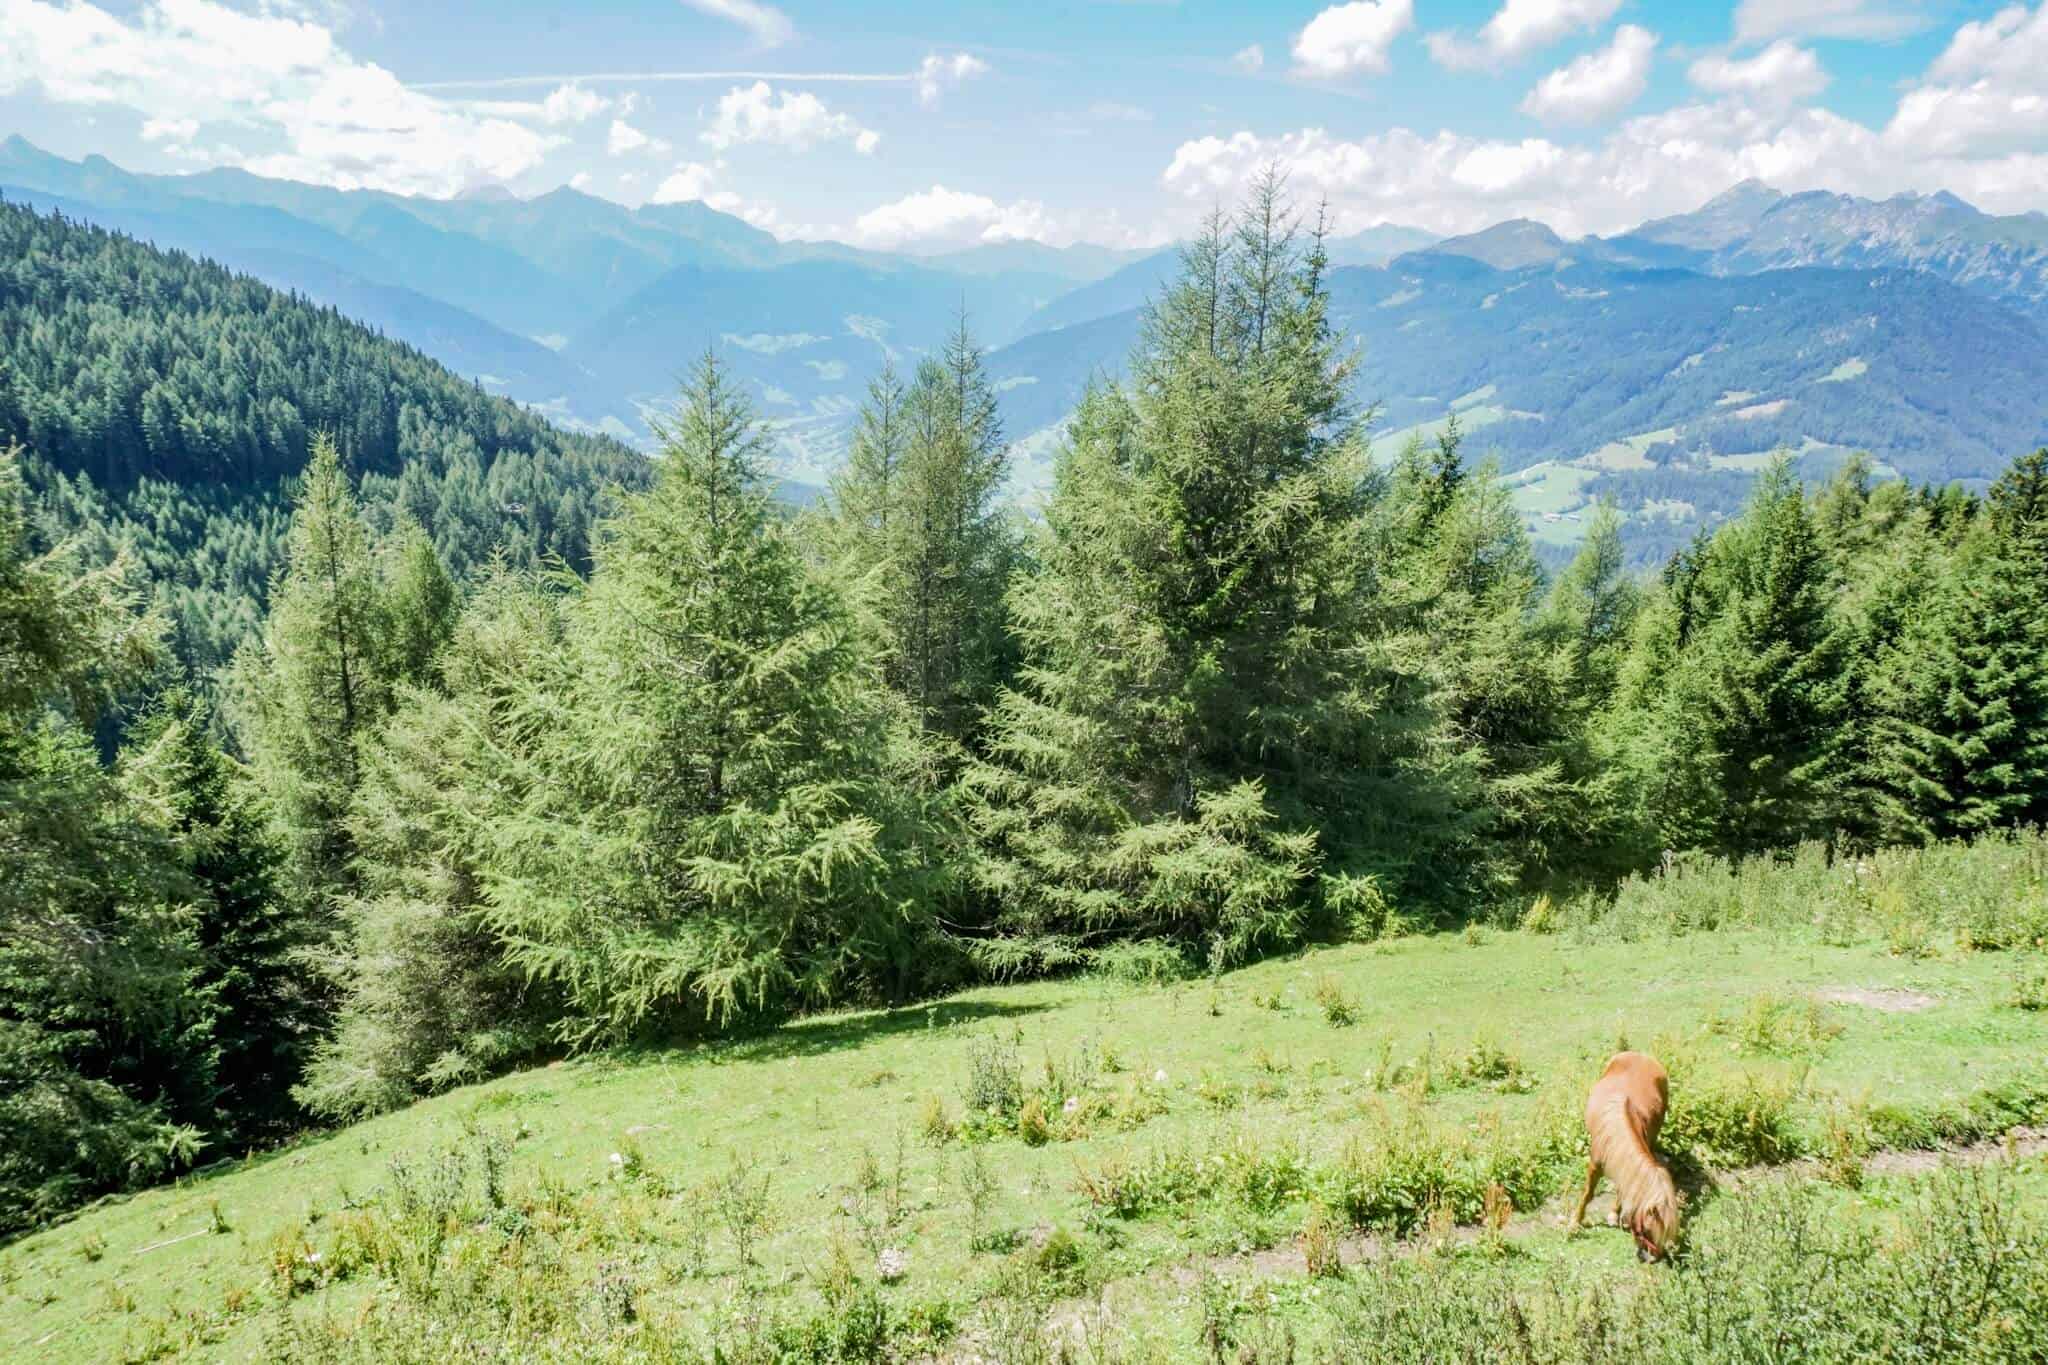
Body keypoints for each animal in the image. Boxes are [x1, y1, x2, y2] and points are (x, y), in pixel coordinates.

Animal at [1564, 1055, 1679, 1260]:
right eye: (1647, 1229)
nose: (1653, 1258)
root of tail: (1641, 1055)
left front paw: (1613, 1214)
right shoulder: (1595, 1165)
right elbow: (1587, 1194)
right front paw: (1575, 1223)